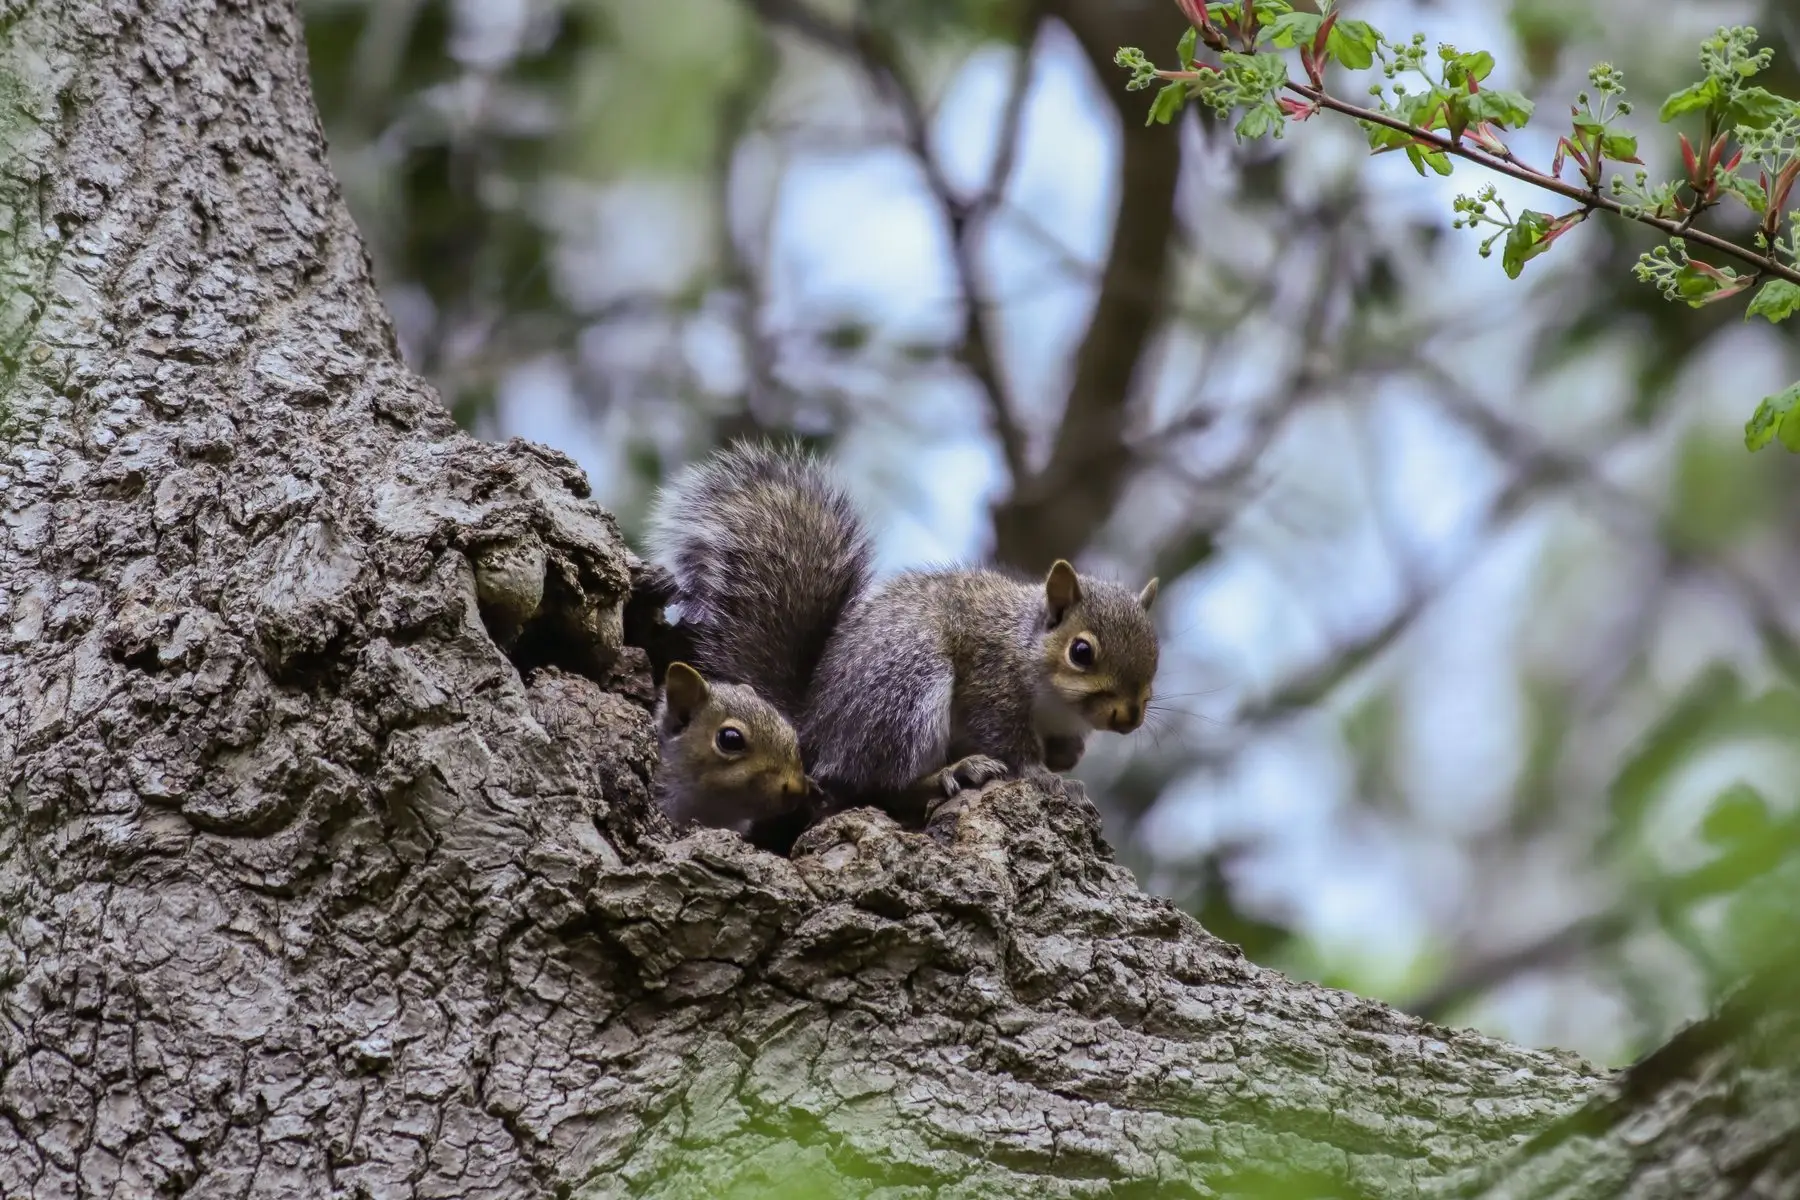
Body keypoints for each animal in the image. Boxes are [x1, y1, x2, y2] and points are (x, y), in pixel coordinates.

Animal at [646, 441, 1161, 814]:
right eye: (1081, 652)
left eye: (1156, 656)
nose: (1128, 718)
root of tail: (813, 727)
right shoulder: (991, 681)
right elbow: (1007, 739)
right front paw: (1045, 777)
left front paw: (1066, 758)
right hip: (906, 691)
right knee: (880, 784)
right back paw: (953, 772)